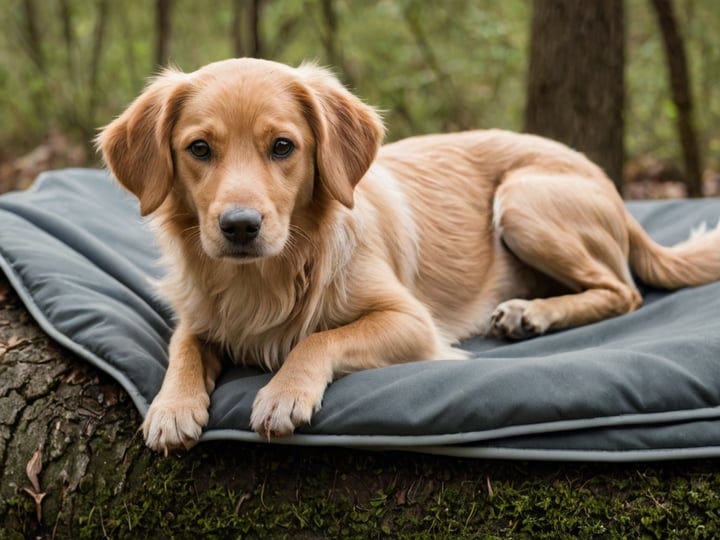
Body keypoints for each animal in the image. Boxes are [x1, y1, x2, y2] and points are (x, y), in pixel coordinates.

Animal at [97, 57, 720, 454]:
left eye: (283, 147)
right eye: (200, 149)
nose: (240, 227)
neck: (272, 274)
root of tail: (603, 177)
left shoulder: (412, 322)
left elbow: (318, 339)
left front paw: (283, 392)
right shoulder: (199, 315)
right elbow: (183, 346)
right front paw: (172, 406)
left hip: (522, 200)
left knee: (624, 291)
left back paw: (534, 313)